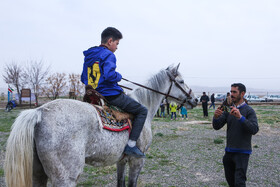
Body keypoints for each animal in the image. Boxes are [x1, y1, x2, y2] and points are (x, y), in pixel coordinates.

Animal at [4, 63, 197, 186]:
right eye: (180, 81)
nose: (194, 99)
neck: (145, 105)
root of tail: (39, 112)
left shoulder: (121, 161)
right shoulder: (137, 161)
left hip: (37, 174)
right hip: (65, 178)